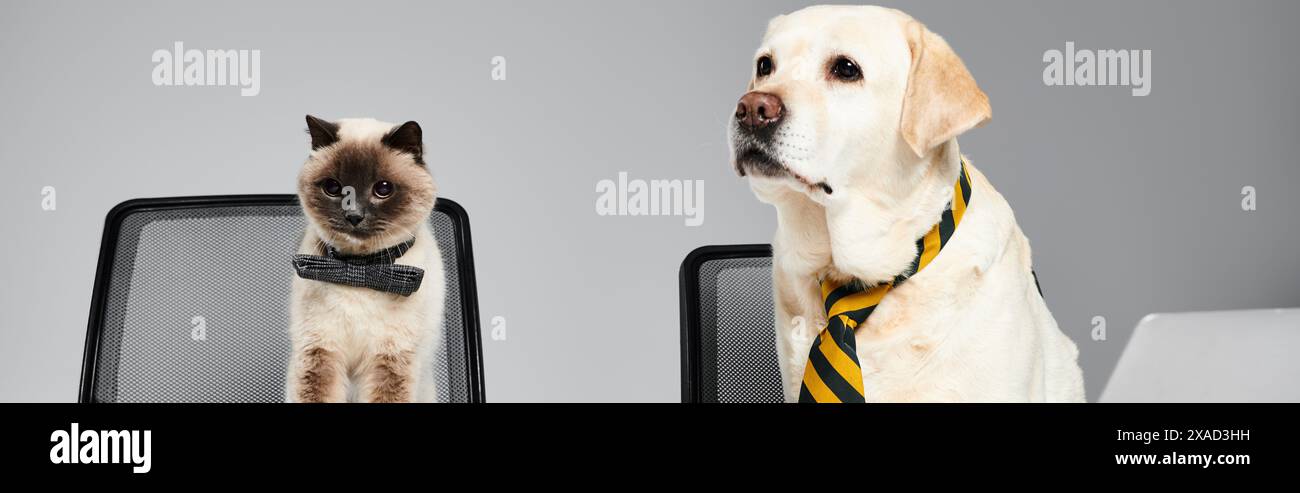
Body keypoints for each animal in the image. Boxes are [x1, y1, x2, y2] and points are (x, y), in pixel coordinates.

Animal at [284, 115, 447, 405]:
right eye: (333, 188)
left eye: (383, 189)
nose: (354, 216)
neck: (359, 268)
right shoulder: (320, 351)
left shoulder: (390, 359)